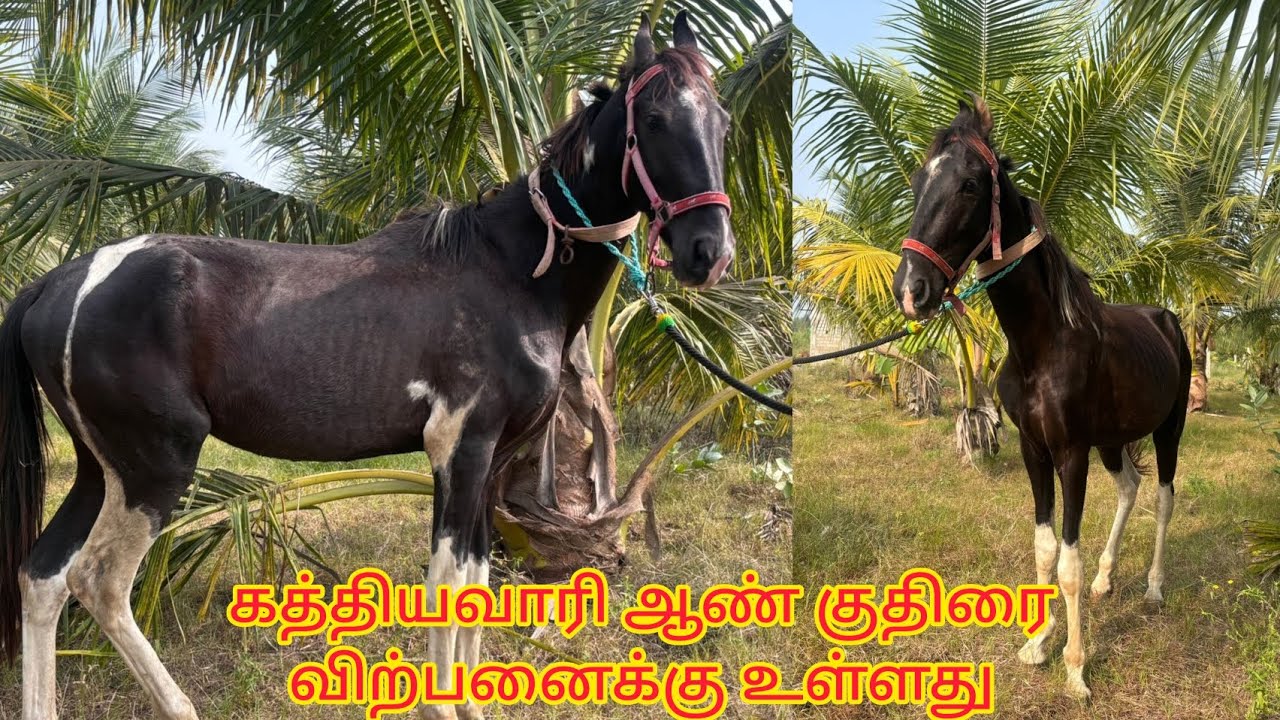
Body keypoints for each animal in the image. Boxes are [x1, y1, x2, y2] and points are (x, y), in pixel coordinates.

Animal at [0, 12, 734, 720]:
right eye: (654, 120)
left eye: (722, 122)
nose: (709, 252)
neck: (508, 270)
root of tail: (61, 281)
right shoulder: (460, 449)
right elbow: (448, 582)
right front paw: (442, 706)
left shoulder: (491, 460)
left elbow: (477, 580)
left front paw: (470, 701)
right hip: (154, 468)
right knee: (98, 582)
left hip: (100, 469)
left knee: (43, 576)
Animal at [891, 95, 1191, 699]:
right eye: (916, 182)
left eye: (970, 185)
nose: (911, 291)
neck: (1045, 344)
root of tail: (1166, 318)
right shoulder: (1035, 450)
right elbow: (1045, 549)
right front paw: (1040, 641)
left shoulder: (1071, 454)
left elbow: (1067, 560)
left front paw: (1076, 668)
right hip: (1113, 441)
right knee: (1130, 486)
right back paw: (1107, 579)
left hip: (1167, 431)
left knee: (1164, 497)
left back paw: (1152, 587)